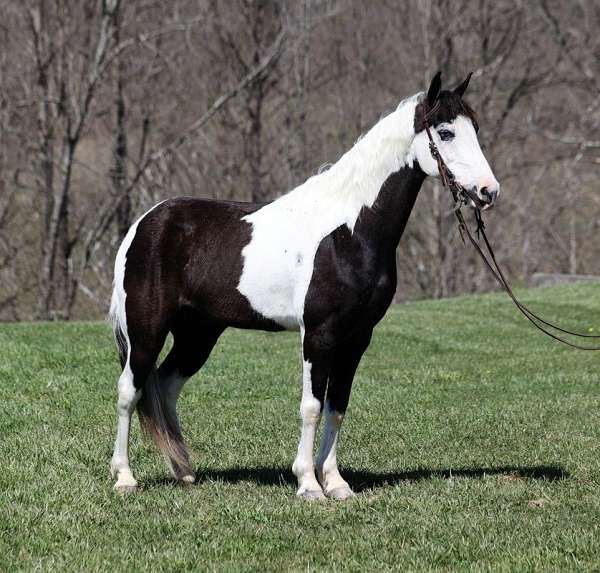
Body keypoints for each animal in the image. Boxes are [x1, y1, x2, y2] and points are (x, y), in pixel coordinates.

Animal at [110, 73, 500, 498]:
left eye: (477, 129)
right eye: (445, 133)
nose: (488, 191)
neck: (349, 230)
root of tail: (143, 224)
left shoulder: (357, 337)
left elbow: (337, 407)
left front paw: (336, 483)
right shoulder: (318, 334)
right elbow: (311, 407)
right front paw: (309, 484)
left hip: (198, 333)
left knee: (164, 386)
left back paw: (183, 471)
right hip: (147, 330)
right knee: (130, 390)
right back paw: (125, 477)